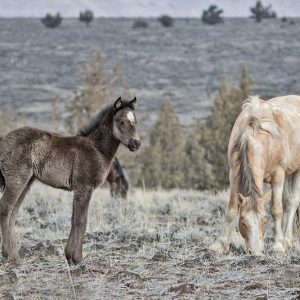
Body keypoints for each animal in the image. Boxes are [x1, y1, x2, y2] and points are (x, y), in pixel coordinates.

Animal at [0, 97, 140, 264]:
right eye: (121, 121)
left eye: (135, 121)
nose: (136, 143)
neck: (97, 149)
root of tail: (3, 140)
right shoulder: (84, 187)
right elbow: (81, 221)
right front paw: (78, 259)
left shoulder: (78, 189)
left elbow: (74, 219)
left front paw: (69, 257)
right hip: (16, 180)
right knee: (6, 208)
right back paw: (9, 255)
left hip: (27, 182)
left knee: (13, 212)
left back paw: (15, 255)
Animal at [210, 95, 300, 254]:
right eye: (243, 222)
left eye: (264, 221)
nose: (256, 252)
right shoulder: (233, 174)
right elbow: (231, 209)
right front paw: (220, 244)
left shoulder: (278, 175)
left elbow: (276, 209)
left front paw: (278, 246)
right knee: (287, 201)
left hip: (296, 170)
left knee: (292, 202)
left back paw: (287, 241)